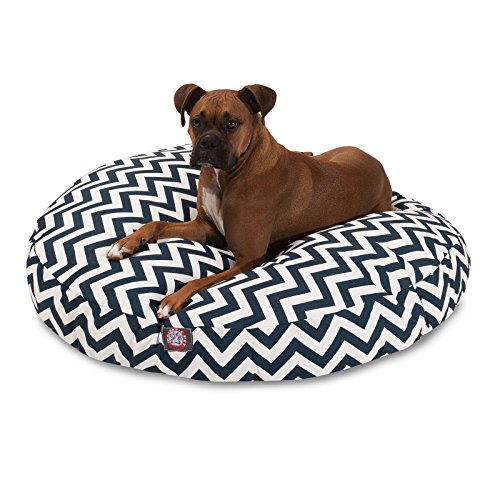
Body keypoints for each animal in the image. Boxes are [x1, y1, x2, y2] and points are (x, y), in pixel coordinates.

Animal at [107, 84, 393, 319]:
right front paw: (125, 243)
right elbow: (157, 223)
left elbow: (200, 281)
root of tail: (376, 162)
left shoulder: (248, 258)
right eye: (196, 122)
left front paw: (172, 300)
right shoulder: (206, 228)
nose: (207, 142)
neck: (226, 176)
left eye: (232, 123)